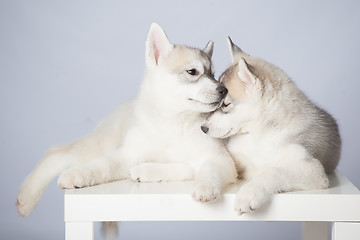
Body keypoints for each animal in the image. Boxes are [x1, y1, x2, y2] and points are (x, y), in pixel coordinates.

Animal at [16, 24, 238, 218]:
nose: (223, 90)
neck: (172, 121)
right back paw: (28, 197)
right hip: (99, 145)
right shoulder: (128, 154)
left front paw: (203, 185)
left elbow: (207, 170)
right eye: (192, 72)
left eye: (213, 74)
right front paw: (79, 174)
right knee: (56, 153)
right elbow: (102, 166)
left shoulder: (219, 159)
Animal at [202, 38, 340, 215]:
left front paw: (248, 193)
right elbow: (217, 165)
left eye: (225, 104)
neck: (260, 135)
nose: (203, 128)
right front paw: (205, 185)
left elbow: (273, 171)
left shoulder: (312, 169)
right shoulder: (234, 160)